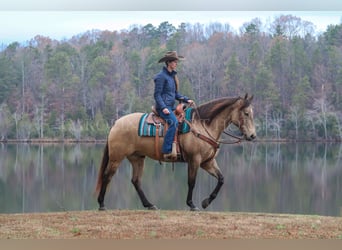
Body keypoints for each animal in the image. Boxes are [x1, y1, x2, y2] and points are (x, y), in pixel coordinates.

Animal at [95, 94, 255, 211]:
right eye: (246, 113)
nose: (253, 136)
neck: (202, 126)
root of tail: (116, 123)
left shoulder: (207, 162)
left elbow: (221, 179)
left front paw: (206, 202)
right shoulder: (194, 160)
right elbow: (191, 182)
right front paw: (191, 204)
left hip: (137, 158)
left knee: (136, 181)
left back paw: (149, 205)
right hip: (116, 157)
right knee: (107, 176)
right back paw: (102, 204)